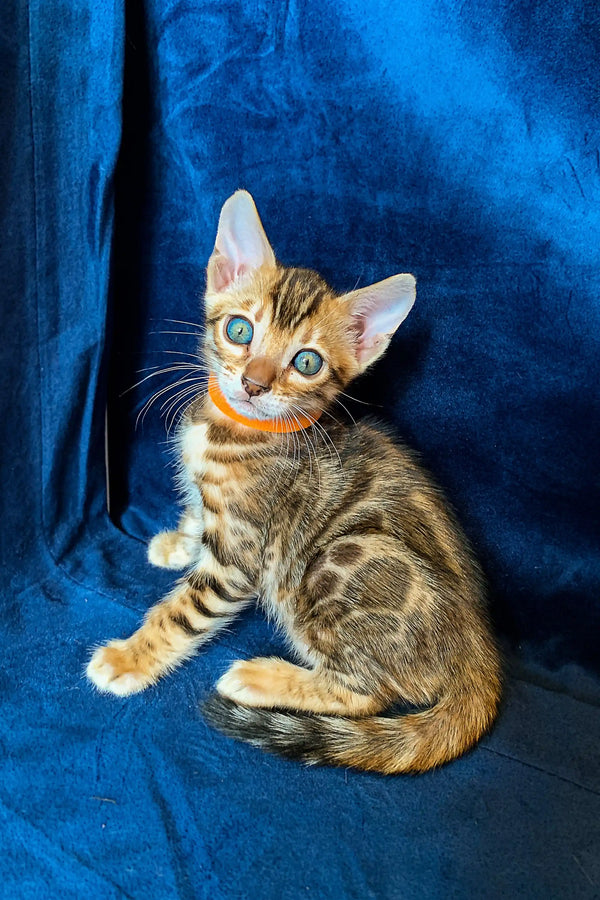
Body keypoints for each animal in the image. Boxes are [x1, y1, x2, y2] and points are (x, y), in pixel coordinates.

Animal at [88, 188, 502, 772]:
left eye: (307, 362)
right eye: (240, 330)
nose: (254, 383)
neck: (238, 428)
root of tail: (480, 653)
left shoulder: (241, 555)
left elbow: (182, 612)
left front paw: (130, 658)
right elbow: (197, 511)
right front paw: (179, 541)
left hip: (338, 560)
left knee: (370, 694)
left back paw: (261, 676)